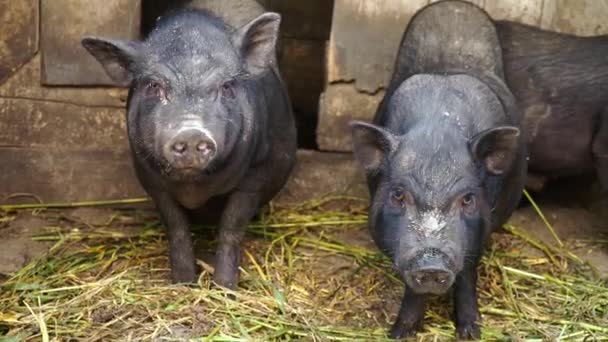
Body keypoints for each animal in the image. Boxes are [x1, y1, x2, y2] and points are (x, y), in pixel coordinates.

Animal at [81, 7, 296, 288]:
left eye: (227, 86)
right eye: (154, 86)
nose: (192, 132)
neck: (195, 188)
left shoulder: (256, 175)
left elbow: (231, 228)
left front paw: (224, 288)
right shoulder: (151, 180)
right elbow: (176, 227)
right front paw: (183, 283)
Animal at [352, 1, 528, 340]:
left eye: (468, 199)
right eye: (398, 195)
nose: (432, 264)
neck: (438, 129)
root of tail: (455, 5)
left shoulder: (479, 232)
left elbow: (467, 273)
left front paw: (471, 332)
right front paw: (399, 333)